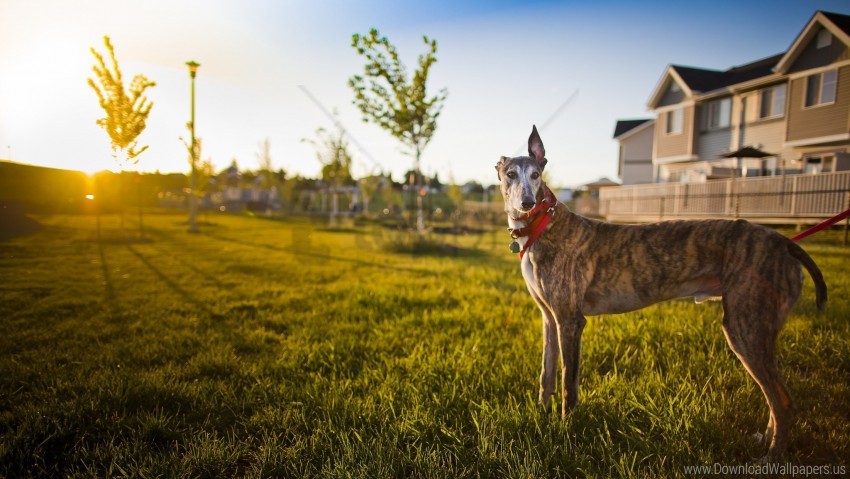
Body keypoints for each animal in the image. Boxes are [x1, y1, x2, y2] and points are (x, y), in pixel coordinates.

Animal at [494, 125, 824, 460]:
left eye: (536, 174)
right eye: (510, 174)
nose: (527, 203)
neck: (544, 225)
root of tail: (784, 242)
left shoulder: (571, 321)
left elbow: (567, 383)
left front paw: (566, 432)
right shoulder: (550, 318)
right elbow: (546, 374)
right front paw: (541, 414)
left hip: (746, 328)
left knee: (784, 402)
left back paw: (771, 457)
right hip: (757, 328)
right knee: (775, 398)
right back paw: (764, 441)